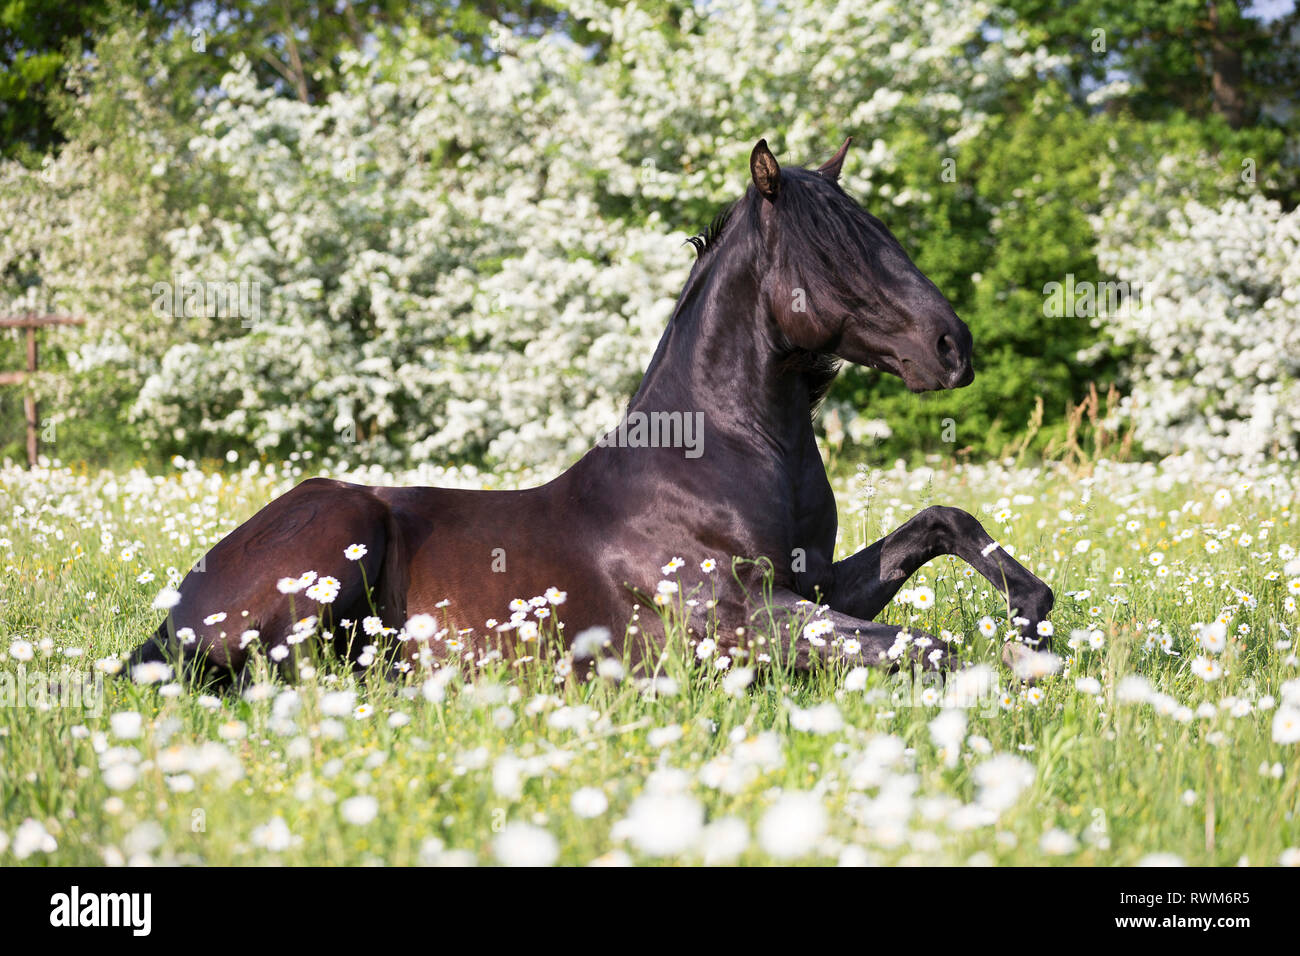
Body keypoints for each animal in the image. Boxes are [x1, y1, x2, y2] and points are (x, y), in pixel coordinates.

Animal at [131, 138, 1050, 686]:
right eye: (836, 253)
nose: (952, 345)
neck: (722, 461)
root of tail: (183, 606)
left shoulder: (814, 585)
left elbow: (941, 524)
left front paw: (1032, 619)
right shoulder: (736, 620)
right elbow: (926, 646)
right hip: (334, 544)